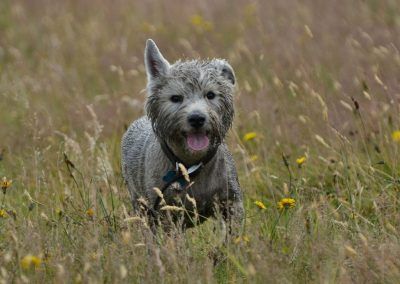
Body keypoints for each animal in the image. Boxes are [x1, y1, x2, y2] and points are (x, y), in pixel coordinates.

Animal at [120, 39, 242, 231]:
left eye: (210, 95)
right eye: (176, 98)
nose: (197, 118)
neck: (190, 165)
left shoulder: (232, 204)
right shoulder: (164, 214)